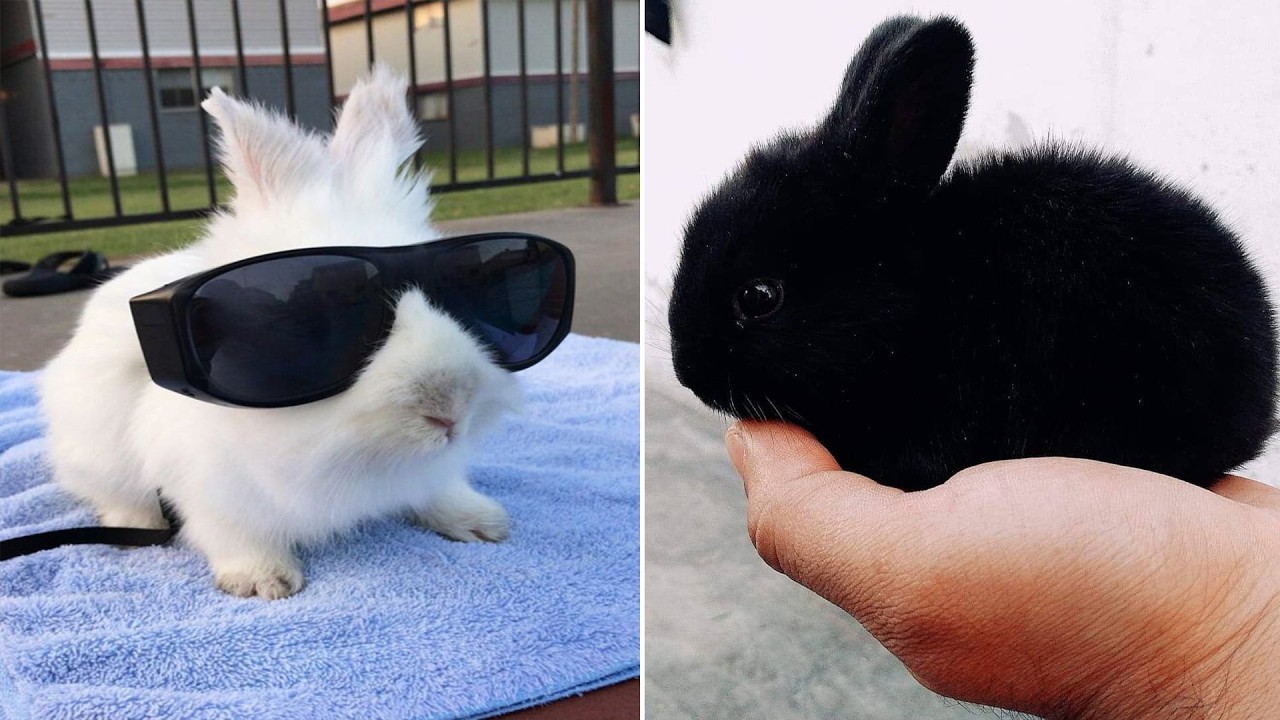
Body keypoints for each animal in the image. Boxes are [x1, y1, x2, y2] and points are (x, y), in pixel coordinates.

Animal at [39, 64, 520, 599]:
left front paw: (480, 522)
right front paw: (262, 580)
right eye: (314, 317)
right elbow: (231, 531)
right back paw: (139, 527)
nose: (449, 410)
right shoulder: (210, 487)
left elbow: (434, 489)